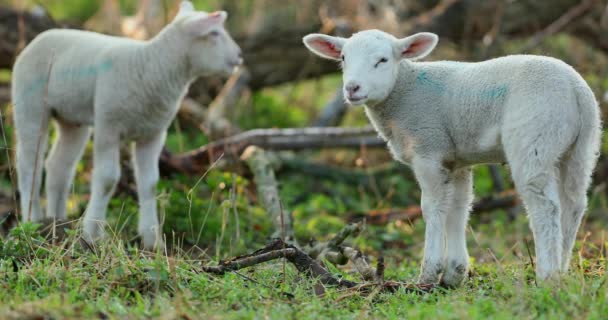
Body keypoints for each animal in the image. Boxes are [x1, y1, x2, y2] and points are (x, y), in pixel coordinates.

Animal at [10, 0, 241, 250]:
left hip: (71, 118)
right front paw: (93, 234)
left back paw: (57, 222)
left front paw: (153, 240)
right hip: (30, 105)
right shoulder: (108, 126)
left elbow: (150, 184)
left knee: (58, 166)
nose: (239, 55)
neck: (154, 67)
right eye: (214, 33)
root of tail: (39, 38)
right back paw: (33, 220)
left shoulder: (153, 134)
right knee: (29, 164)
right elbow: (108, 179)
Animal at [304, 30, 604, 284]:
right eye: (343, 58)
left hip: (534, 135)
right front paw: (454, 274)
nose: (352, 88)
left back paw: (546, 275)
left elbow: (433, 207)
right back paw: (562, 269)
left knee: (545, 205)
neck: (404, 90)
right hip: (581, 145)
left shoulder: (428, 149)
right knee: (574, 203)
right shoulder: (456, 160)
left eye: (382, 60)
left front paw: (428, 273)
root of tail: (576, 90)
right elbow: (459, 208)